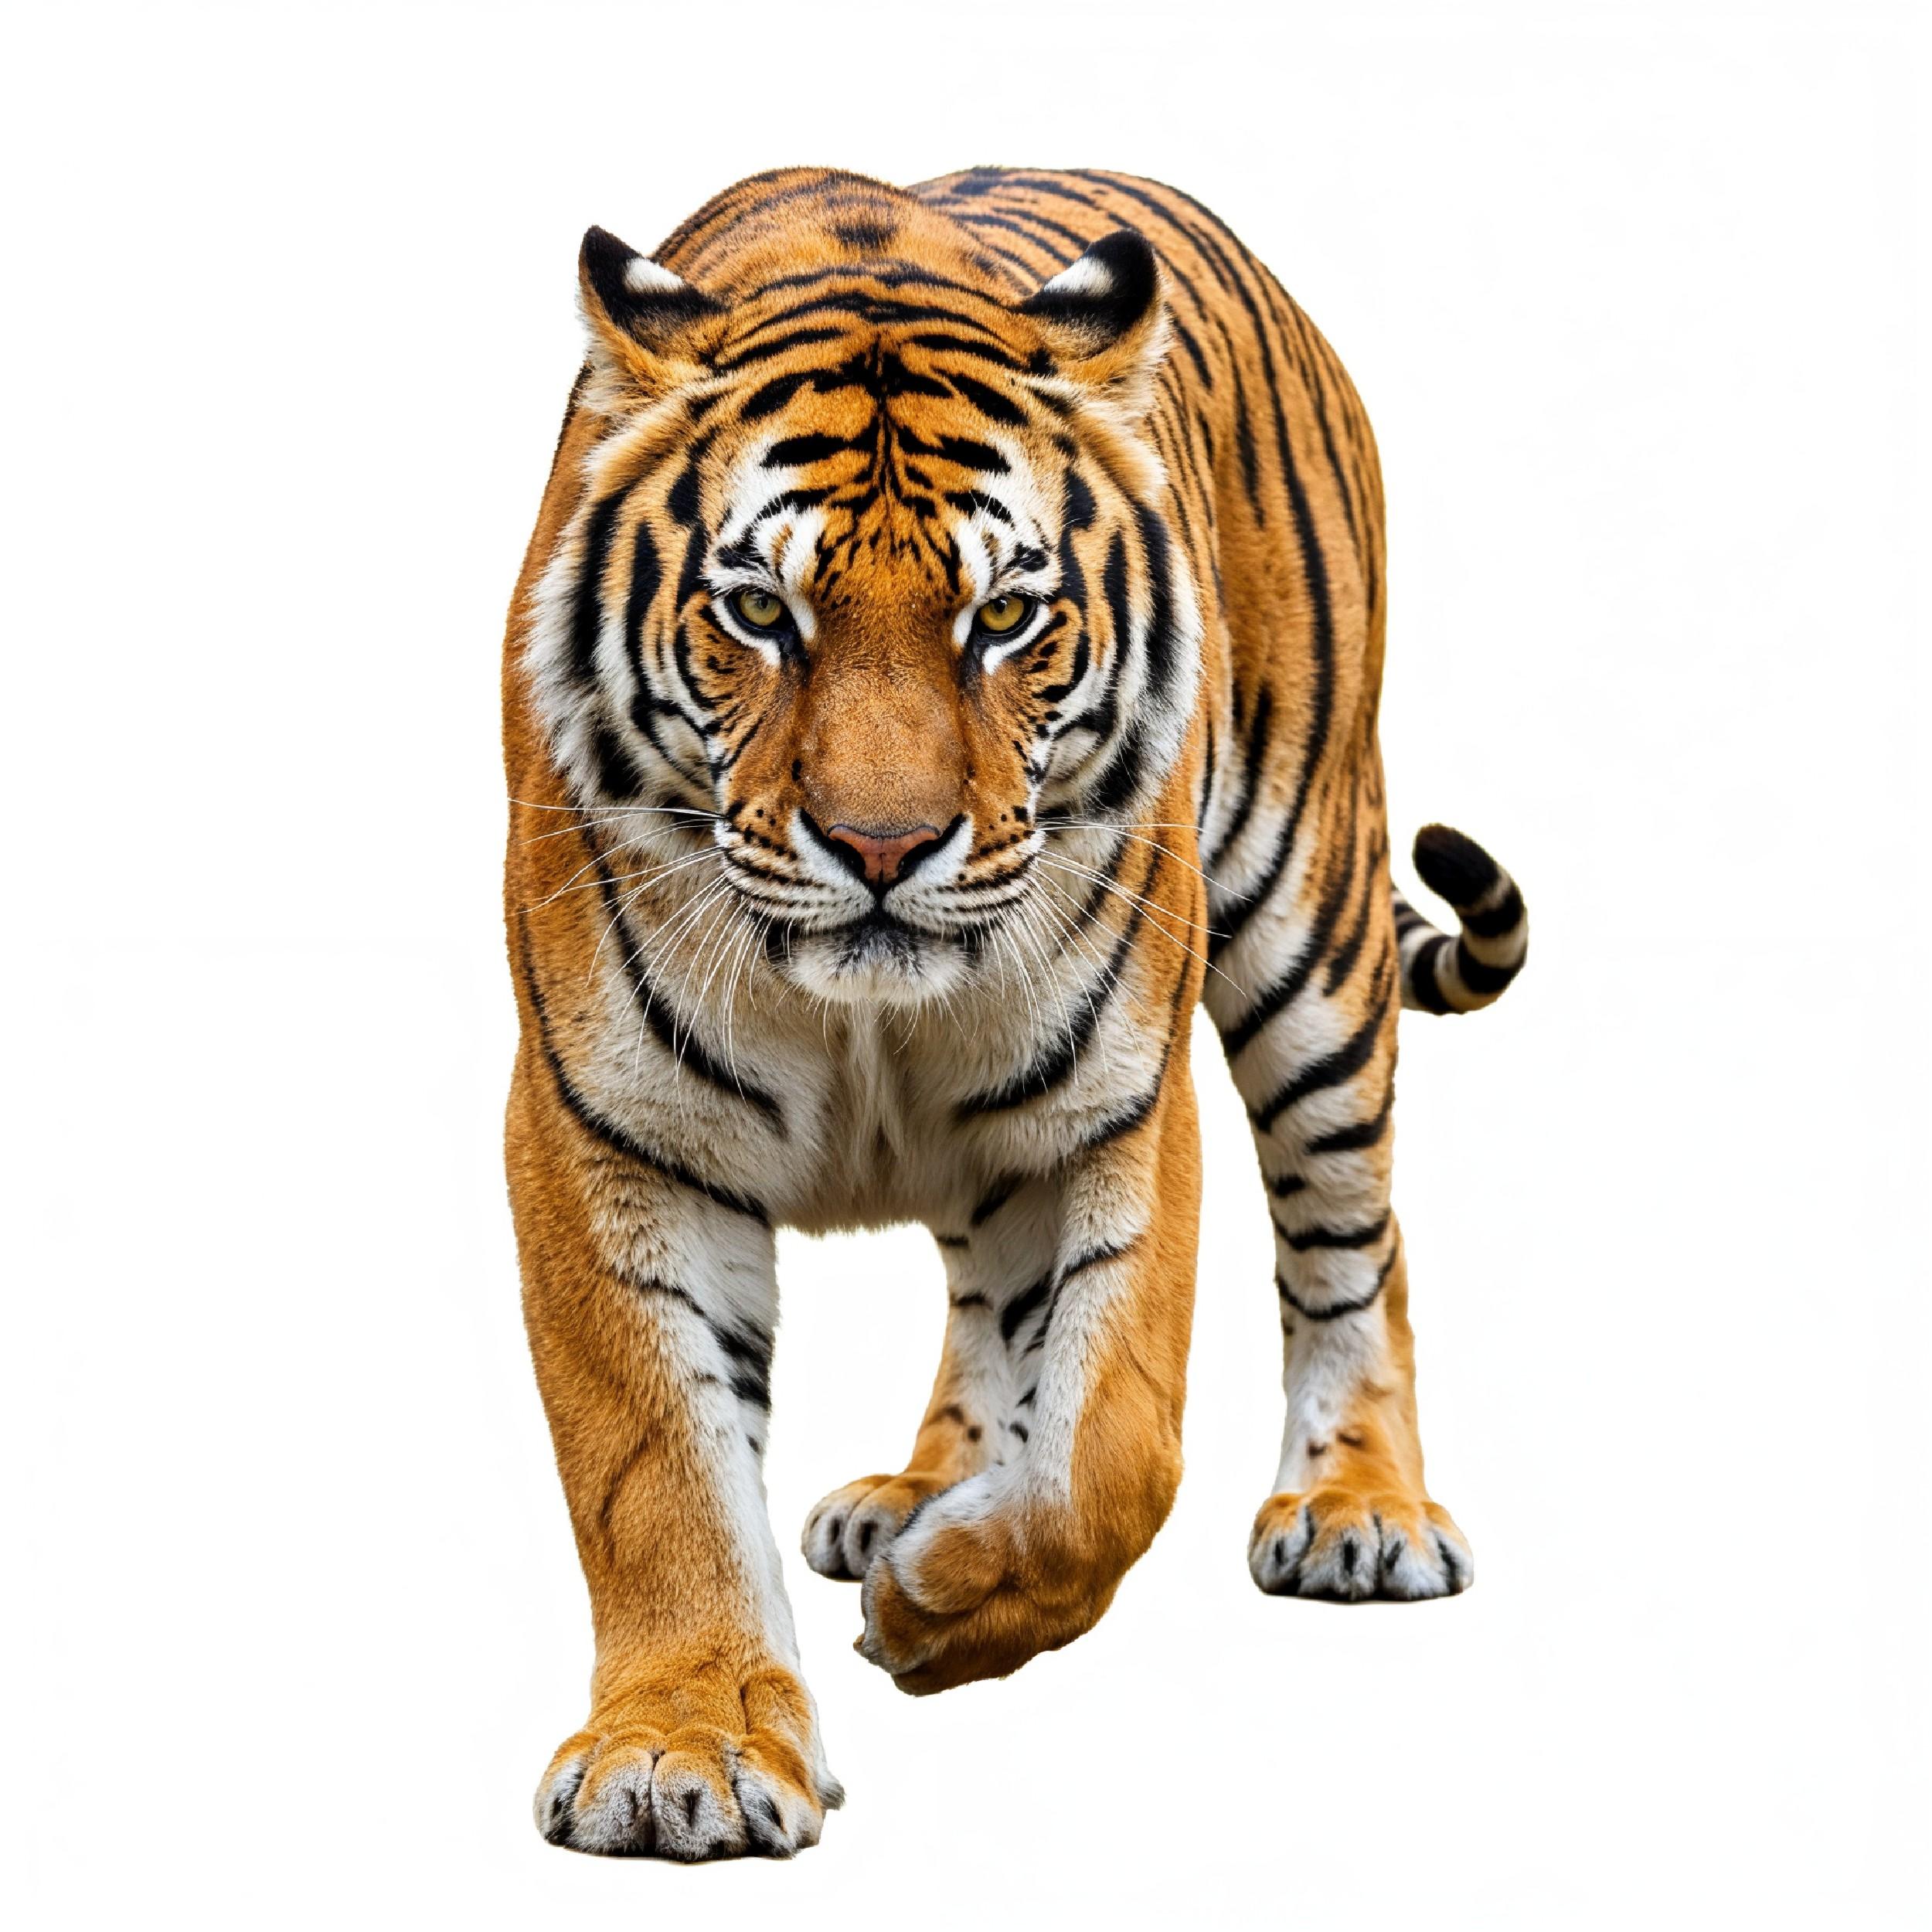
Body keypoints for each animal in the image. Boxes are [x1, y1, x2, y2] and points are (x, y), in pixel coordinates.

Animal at [502, 164, 1528, 1861]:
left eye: (1002, 619)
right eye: (758, 613)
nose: (881, 846)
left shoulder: (1118, 1103)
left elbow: (1112, 1450)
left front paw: (943, 1607)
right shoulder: (608, 1127)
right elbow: (654, 1465)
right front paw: (679, 1749)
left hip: (1313, 915)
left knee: (1347, 1240)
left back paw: (1357, 1512)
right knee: (981, 1290)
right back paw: (915, 1493)